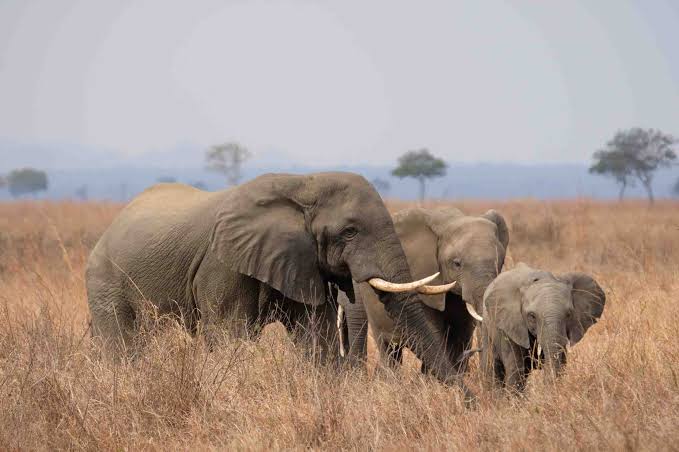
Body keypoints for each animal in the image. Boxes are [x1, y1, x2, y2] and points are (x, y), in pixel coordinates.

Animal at [86, 172, 472, 395]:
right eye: (349, 231)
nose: (467, 398)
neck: (303, 184)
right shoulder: (222, 264)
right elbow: (229, 333)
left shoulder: (299, 261)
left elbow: (315, 334)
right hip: (104, 281)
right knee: (124, 344)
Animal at [340, 206, 509, 374]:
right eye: (456, 264)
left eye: (500, 262)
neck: (451, 220)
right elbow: (434, 333)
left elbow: (461, 333)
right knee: (387, 348)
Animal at [480, 263, 606, 392]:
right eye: (532, 316)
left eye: (569, 314)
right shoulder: (510, 325)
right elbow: (515, 367)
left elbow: (561, 362)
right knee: (492, 366)